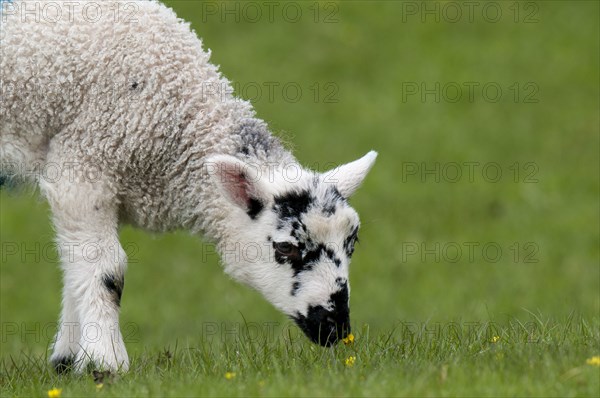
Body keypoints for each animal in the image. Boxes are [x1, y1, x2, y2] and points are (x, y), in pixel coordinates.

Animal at [0, 0, 378, 374]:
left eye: (352, 243)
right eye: (286, 248)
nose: (336, 329)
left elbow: (75, 266)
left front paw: (67, 361)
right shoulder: (83, 168)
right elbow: (106, 270)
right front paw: (105, 363)